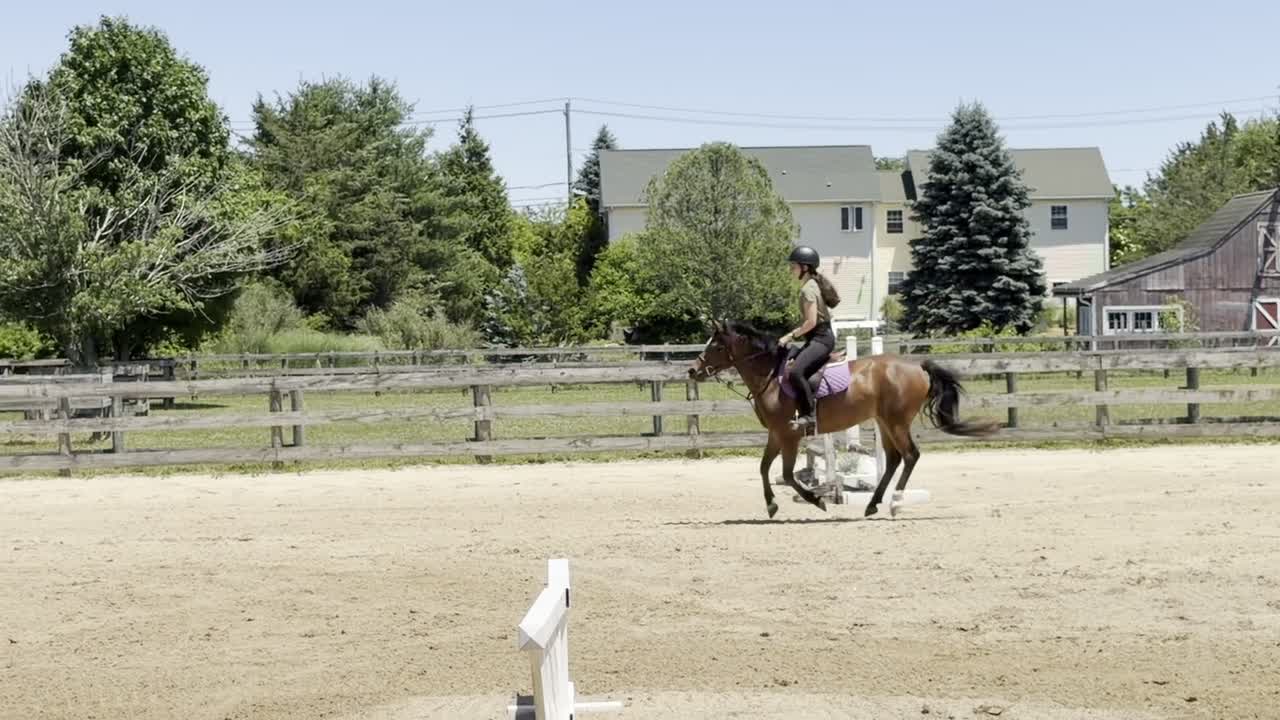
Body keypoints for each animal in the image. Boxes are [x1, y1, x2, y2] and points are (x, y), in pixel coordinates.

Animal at [687, 319, 999, 519]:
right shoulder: (776, 433)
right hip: (885, 422)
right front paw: (772, 505)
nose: (693, 370)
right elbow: (764, 468)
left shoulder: (789, 435)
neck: (771, 376)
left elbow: (787, 474)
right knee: (894, 459)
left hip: (896, 421)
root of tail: (918, 367)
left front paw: (817, 500)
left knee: (910, 455)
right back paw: (872, 504)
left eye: (716, 346)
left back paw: (895, 503)